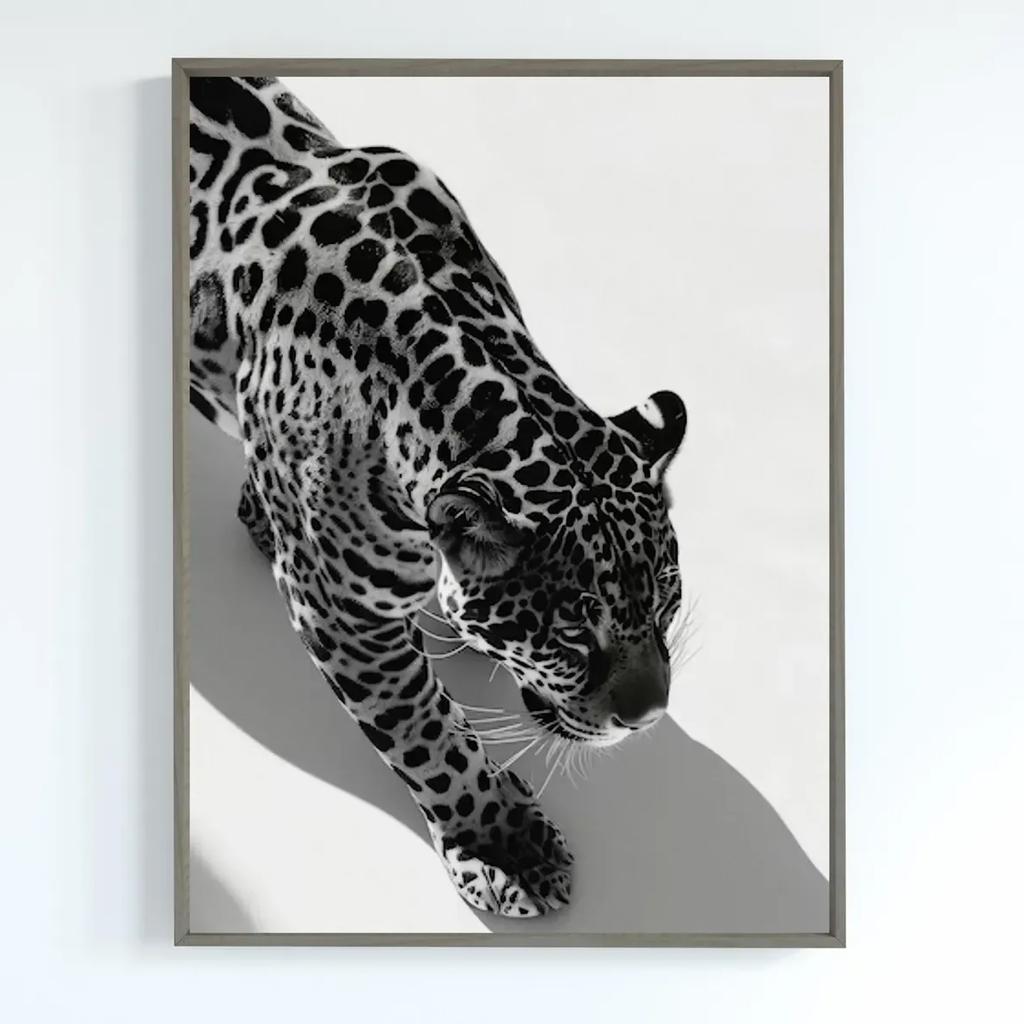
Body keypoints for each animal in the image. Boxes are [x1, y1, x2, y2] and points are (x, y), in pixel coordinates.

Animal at [188, 75, 688, 917]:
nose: (649, 716)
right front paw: (505, 848)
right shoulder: (341, 613)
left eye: (666, 605)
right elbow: (427, 735)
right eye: (571, 636)